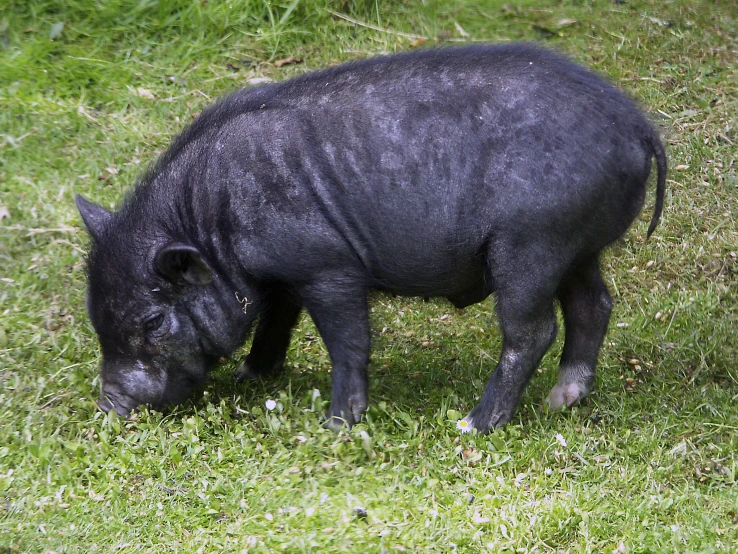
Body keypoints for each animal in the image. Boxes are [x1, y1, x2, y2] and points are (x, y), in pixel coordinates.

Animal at [77, 44, 664, 432]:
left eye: (153, 321)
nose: (108, 406)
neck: (213, 222)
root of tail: (637, 126)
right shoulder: (283, 276)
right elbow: (276, 323)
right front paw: (251, 377)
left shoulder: (327, 266)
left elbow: (348, 341)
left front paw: (336, 425)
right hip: (577, 245)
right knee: (594, 304)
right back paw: (562, 401)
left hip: (532, 242)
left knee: (533, 331)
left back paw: (473, 425)